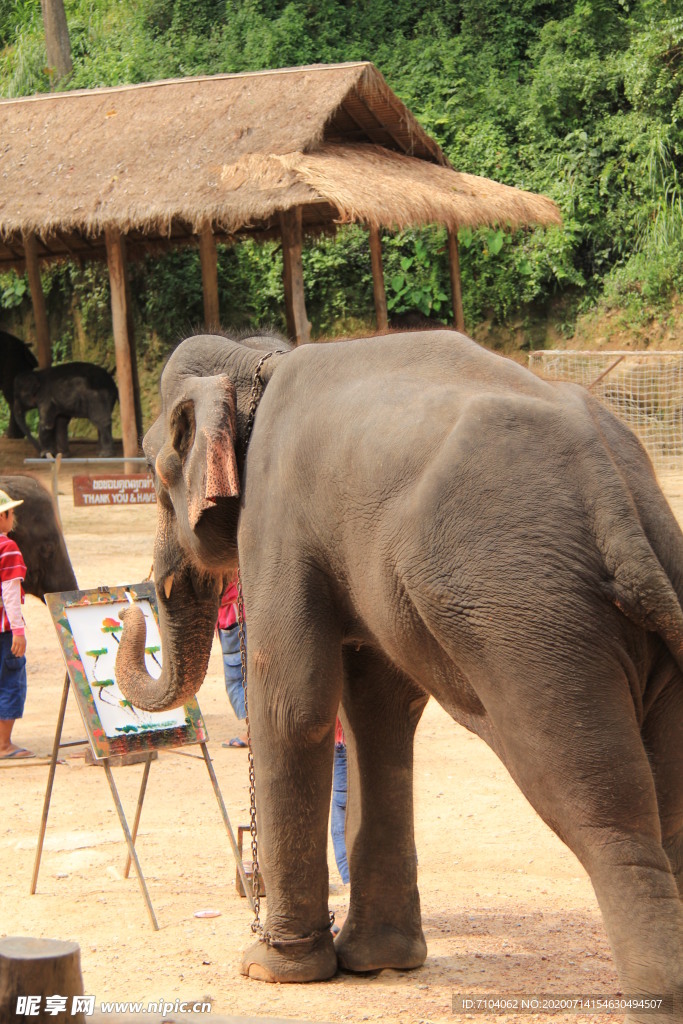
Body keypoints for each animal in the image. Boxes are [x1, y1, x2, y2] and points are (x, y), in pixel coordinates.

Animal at [114, 331, 679, 1019]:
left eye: (153, 474)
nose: (128, 608)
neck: (258, 361)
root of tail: (614, 491)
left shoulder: (277, 520)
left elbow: (294, 706)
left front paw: (270, 970)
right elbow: (379, 709)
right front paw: (378, 963)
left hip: (534, 622)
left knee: (603, 812)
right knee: (670, 806)